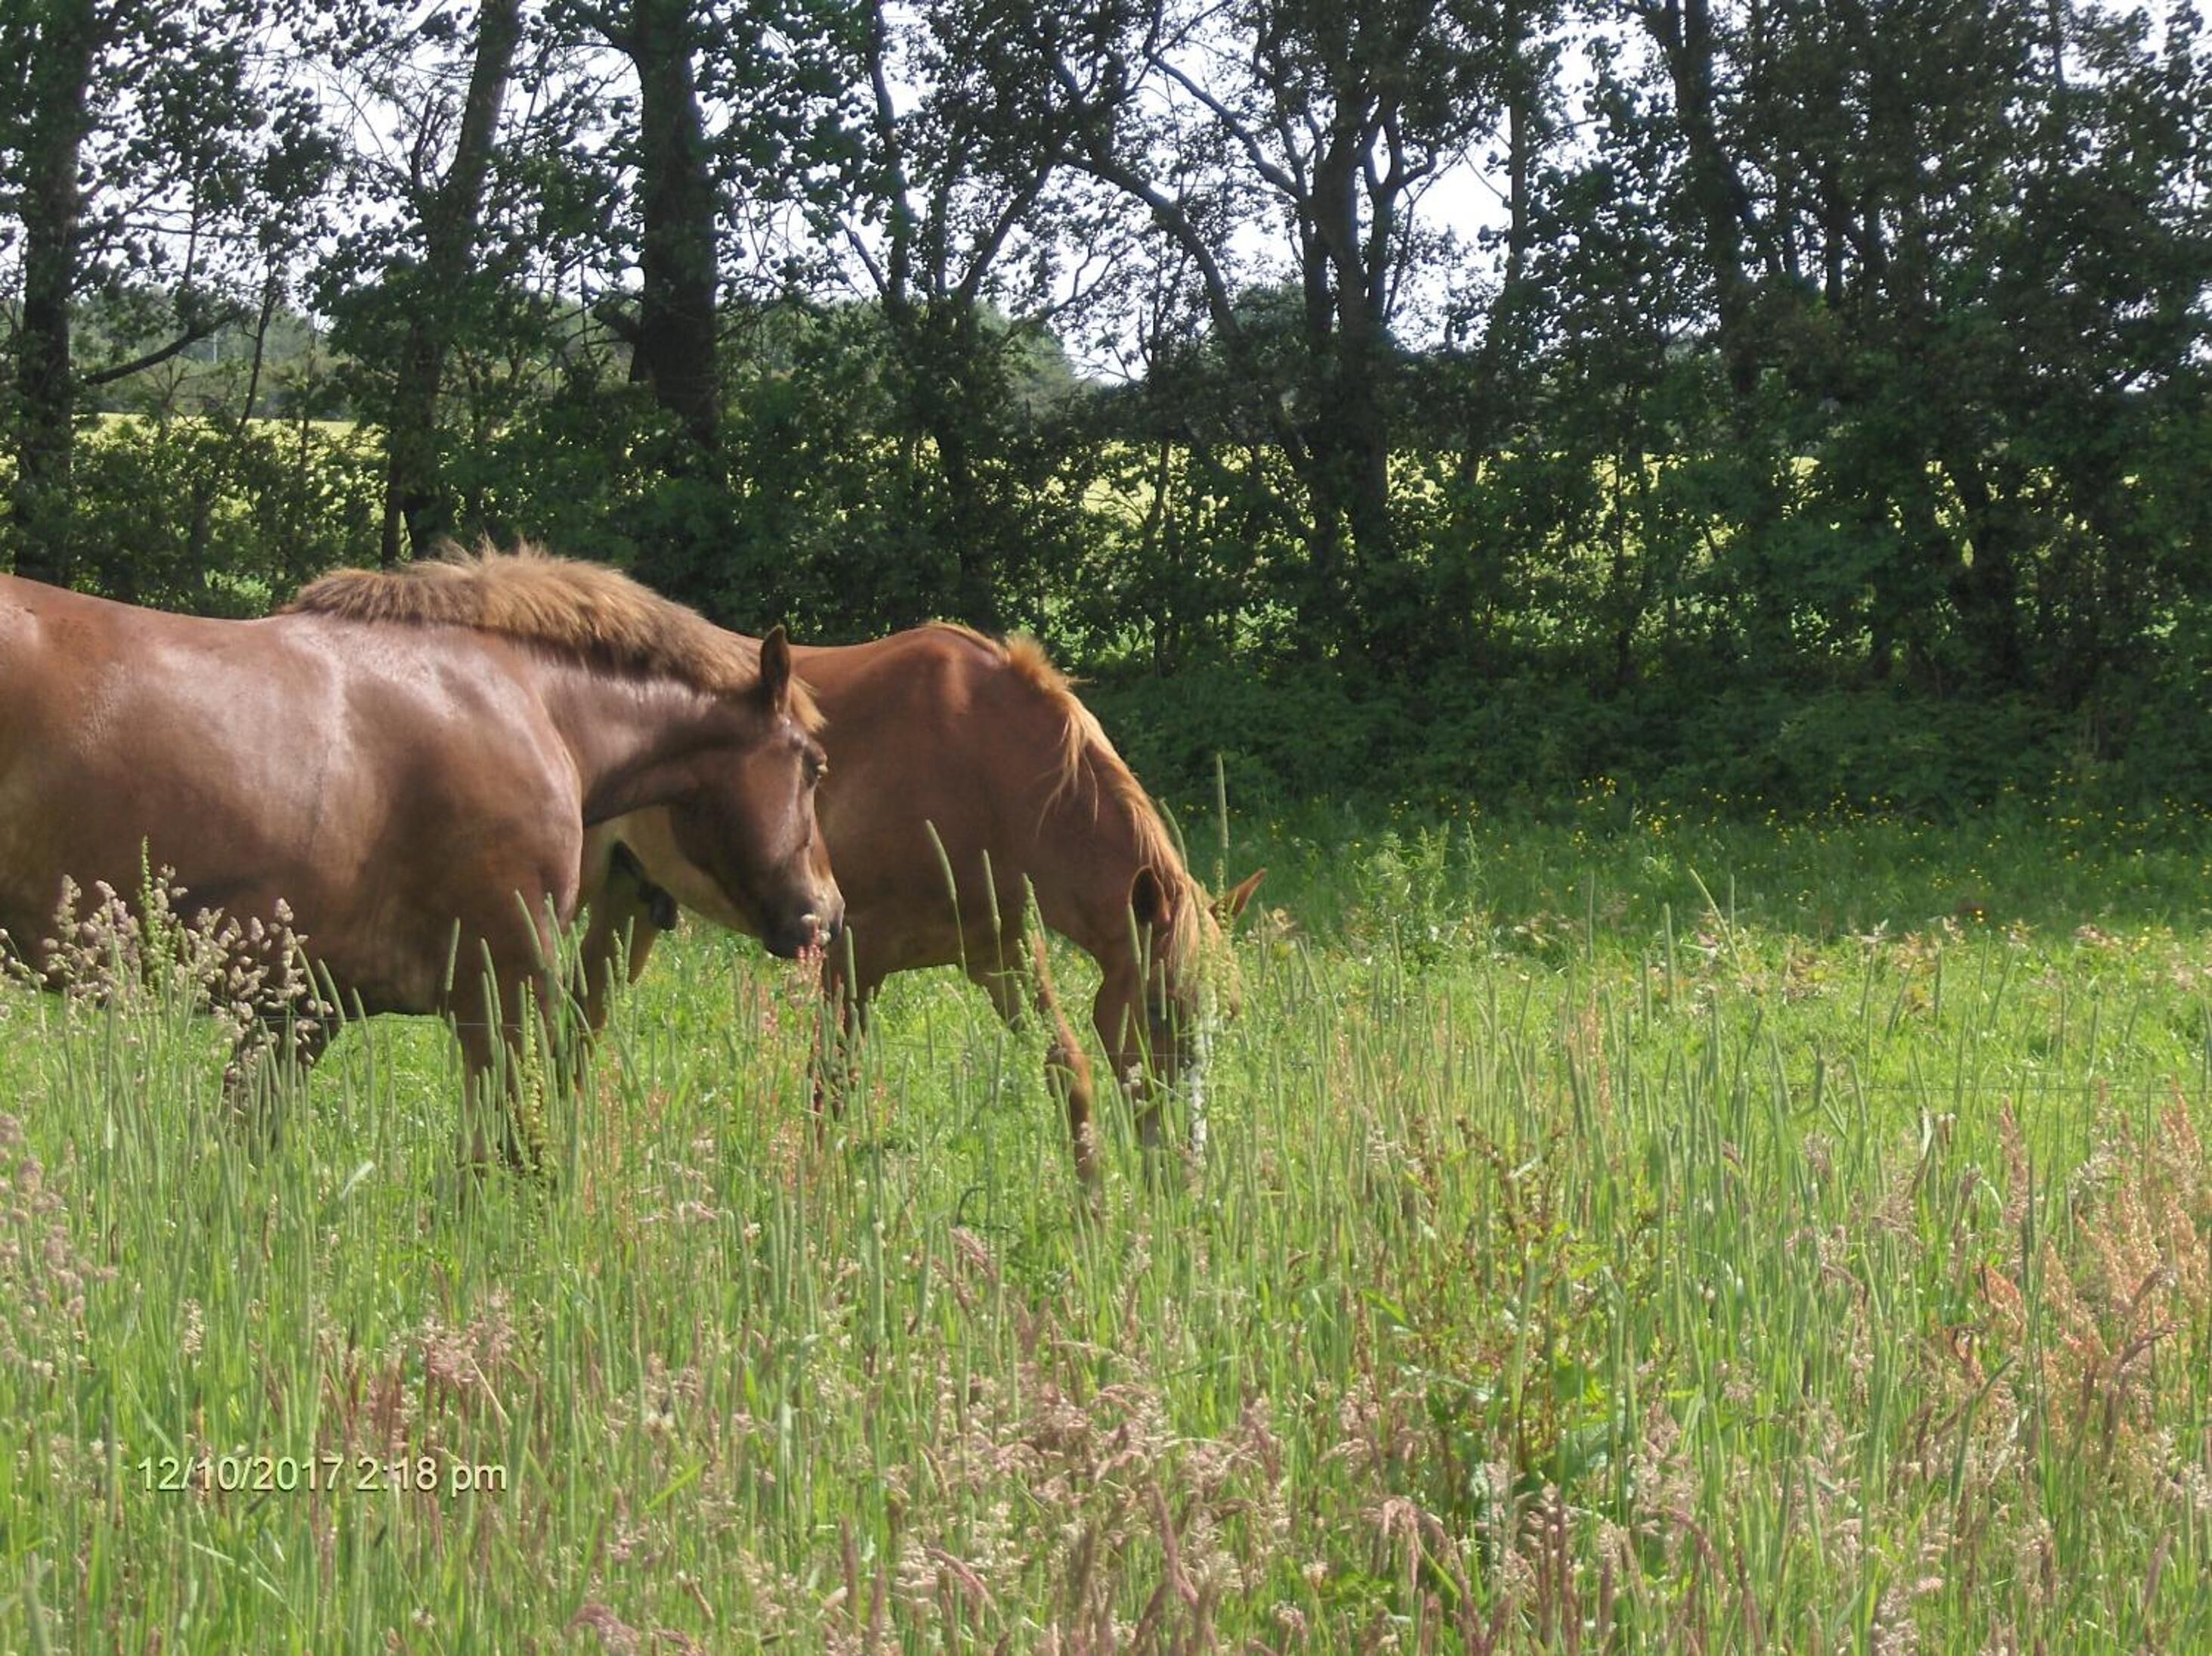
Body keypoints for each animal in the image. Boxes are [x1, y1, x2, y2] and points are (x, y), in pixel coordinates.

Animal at [0, 546, 841, 1165]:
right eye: (813, 765)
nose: (826, 912)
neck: (529, 702)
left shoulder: (298, 1011)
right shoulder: (502, 994)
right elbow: (504, 1156)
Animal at [577, 623, 1261, 1187]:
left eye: (1227, 1013)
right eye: (1158, 1008)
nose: (1185, 1169)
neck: (980, 766)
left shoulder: (1003, 957)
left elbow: (1068, 1069)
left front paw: (1093, 1215)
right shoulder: (851, 954)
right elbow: (831, 1087)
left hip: (627, 905)